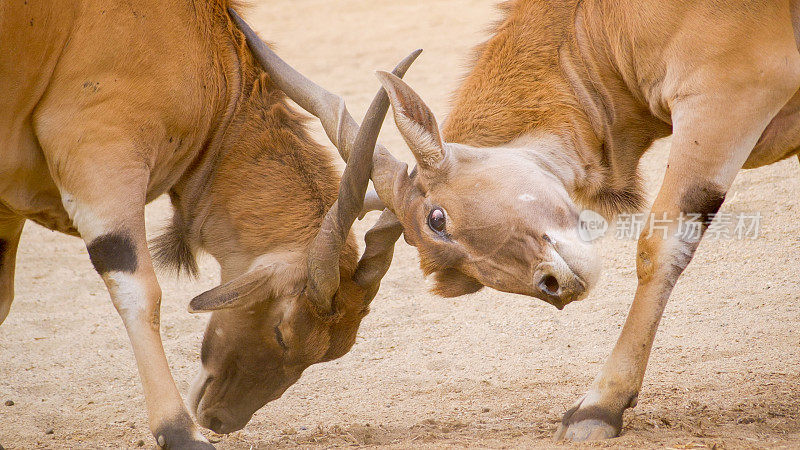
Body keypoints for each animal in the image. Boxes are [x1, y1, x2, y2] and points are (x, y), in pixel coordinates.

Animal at [242, 0, 800, 442]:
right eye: (460, 280)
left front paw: (599, 407)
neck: (599, 21)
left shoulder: (724, 99)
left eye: (436, 217)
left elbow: (658, 247)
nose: (554, 286)